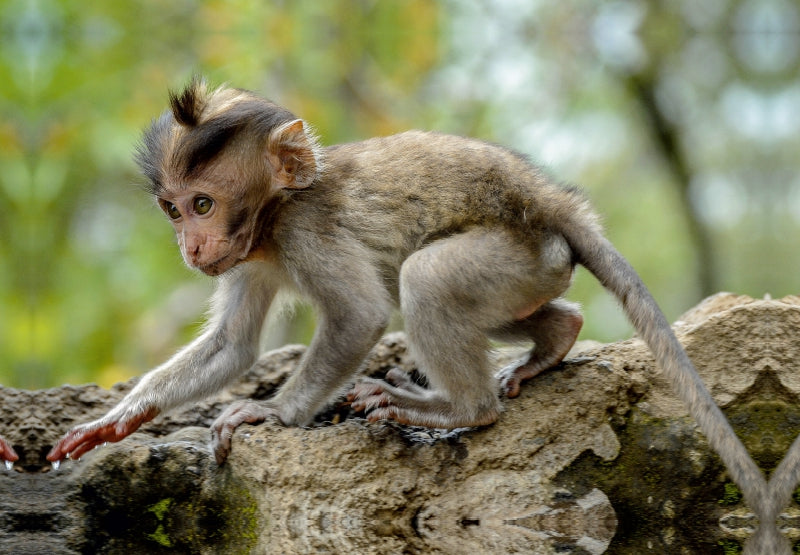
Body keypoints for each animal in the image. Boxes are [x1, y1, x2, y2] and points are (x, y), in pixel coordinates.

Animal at [46, 78, 782, 551]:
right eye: (172, 209)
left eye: (202, 203)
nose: (191, 246)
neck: (276, 212)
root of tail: (554, 203)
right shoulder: (251, 253)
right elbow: (233, 345)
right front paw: (114, 421)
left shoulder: (306, 232)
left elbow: (360, 316)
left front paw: (272, 413)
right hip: (537, 269)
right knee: (507, 302)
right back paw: (554, 338)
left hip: (515, 254)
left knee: (420, 280)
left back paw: (456, 408)